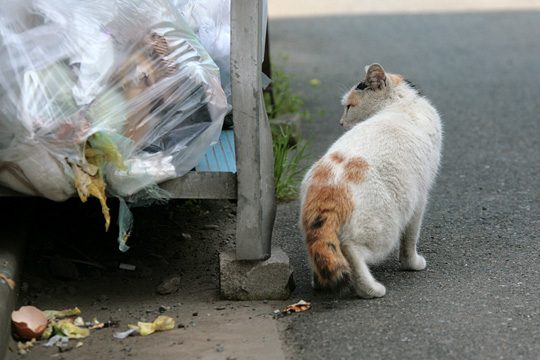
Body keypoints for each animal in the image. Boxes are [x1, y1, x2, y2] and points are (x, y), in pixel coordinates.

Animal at [300, 62, 442, 298]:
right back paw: (371, 289)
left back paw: (319, 283)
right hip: (384, 226)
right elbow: (410, 238)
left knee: (323, 254)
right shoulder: (420, 199)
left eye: (349, 106)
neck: (399, 102)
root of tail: (327, 187)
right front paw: (412, 263)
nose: (340, 123)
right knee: (351, 250)